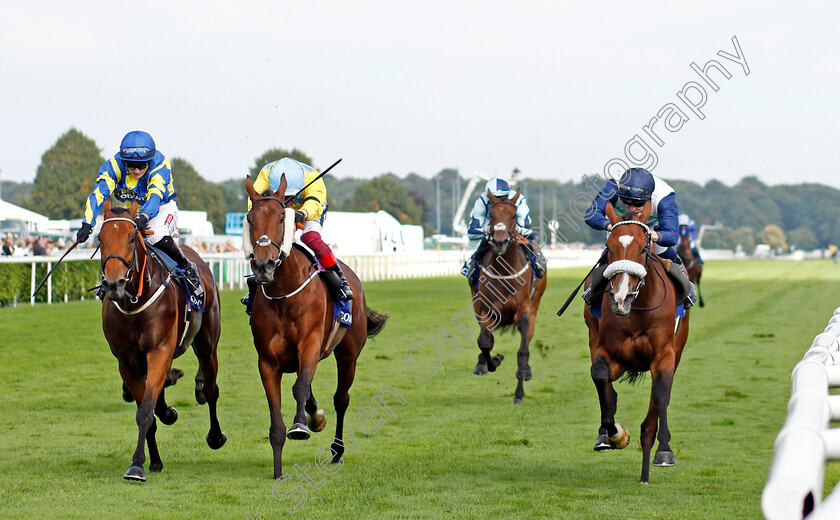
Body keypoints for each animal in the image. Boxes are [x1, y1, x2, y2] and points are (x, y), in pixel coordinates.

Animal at [97, 197, 226, 482]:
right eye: (100, 238)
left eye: (132, 238)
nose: (113, 283)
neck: (136, 300)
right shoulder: (128, 362)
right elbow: (147, 410)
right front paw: (151, 460)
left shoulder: (159, 350)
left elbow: (146, 411)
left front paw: (136, 466)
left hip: (207, 343)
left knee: (211, 390)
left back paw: (215, 435)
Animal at [241, 176, 388, 480]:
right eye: (250, 218)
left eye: (281, 218)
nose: (263, 266)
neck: (284, 296)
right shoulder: (267, 361)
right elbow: (278, 415)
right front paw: (278, 470)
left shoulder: (309, 344)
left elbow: (299, 388)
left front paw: (300, 426)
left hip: (348, 354)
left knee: (341, 398)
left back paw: (336, 449)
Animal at [470, 189, 548, 404]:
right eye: (491, 214)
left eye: (513, 215)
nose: (499, 241)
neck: (505, 269)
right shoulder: (486, 308)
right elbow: (484, 342)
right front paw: (492, 361)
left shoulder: (524, 309)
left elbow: (522, 349)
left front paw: (523, 372)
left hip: (535, 306)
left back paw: (519, 393)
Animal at [584, 202, 688, 484]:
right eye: (609, 247)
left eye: (643, 248)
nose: (620, 298)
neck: (637, 311)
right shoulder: (609, 352)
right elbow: (600, 377)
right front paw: (615, 434)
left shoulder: (664, 356)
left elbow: (660, 395)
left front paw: (661, 452)